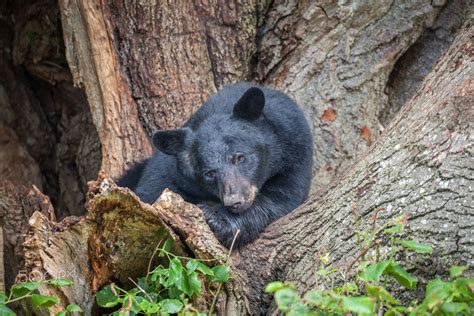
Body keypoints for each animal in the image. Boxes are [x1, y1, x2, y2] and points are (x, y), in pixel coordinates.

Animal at [117, 82, 312, 248]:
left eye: (240, 157)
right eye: (209, 173)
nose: (234, 201)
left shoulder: (295, 150)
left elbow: (282, 195)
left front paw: (217, 219)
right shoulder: (167, 172)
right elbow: (150, 195)